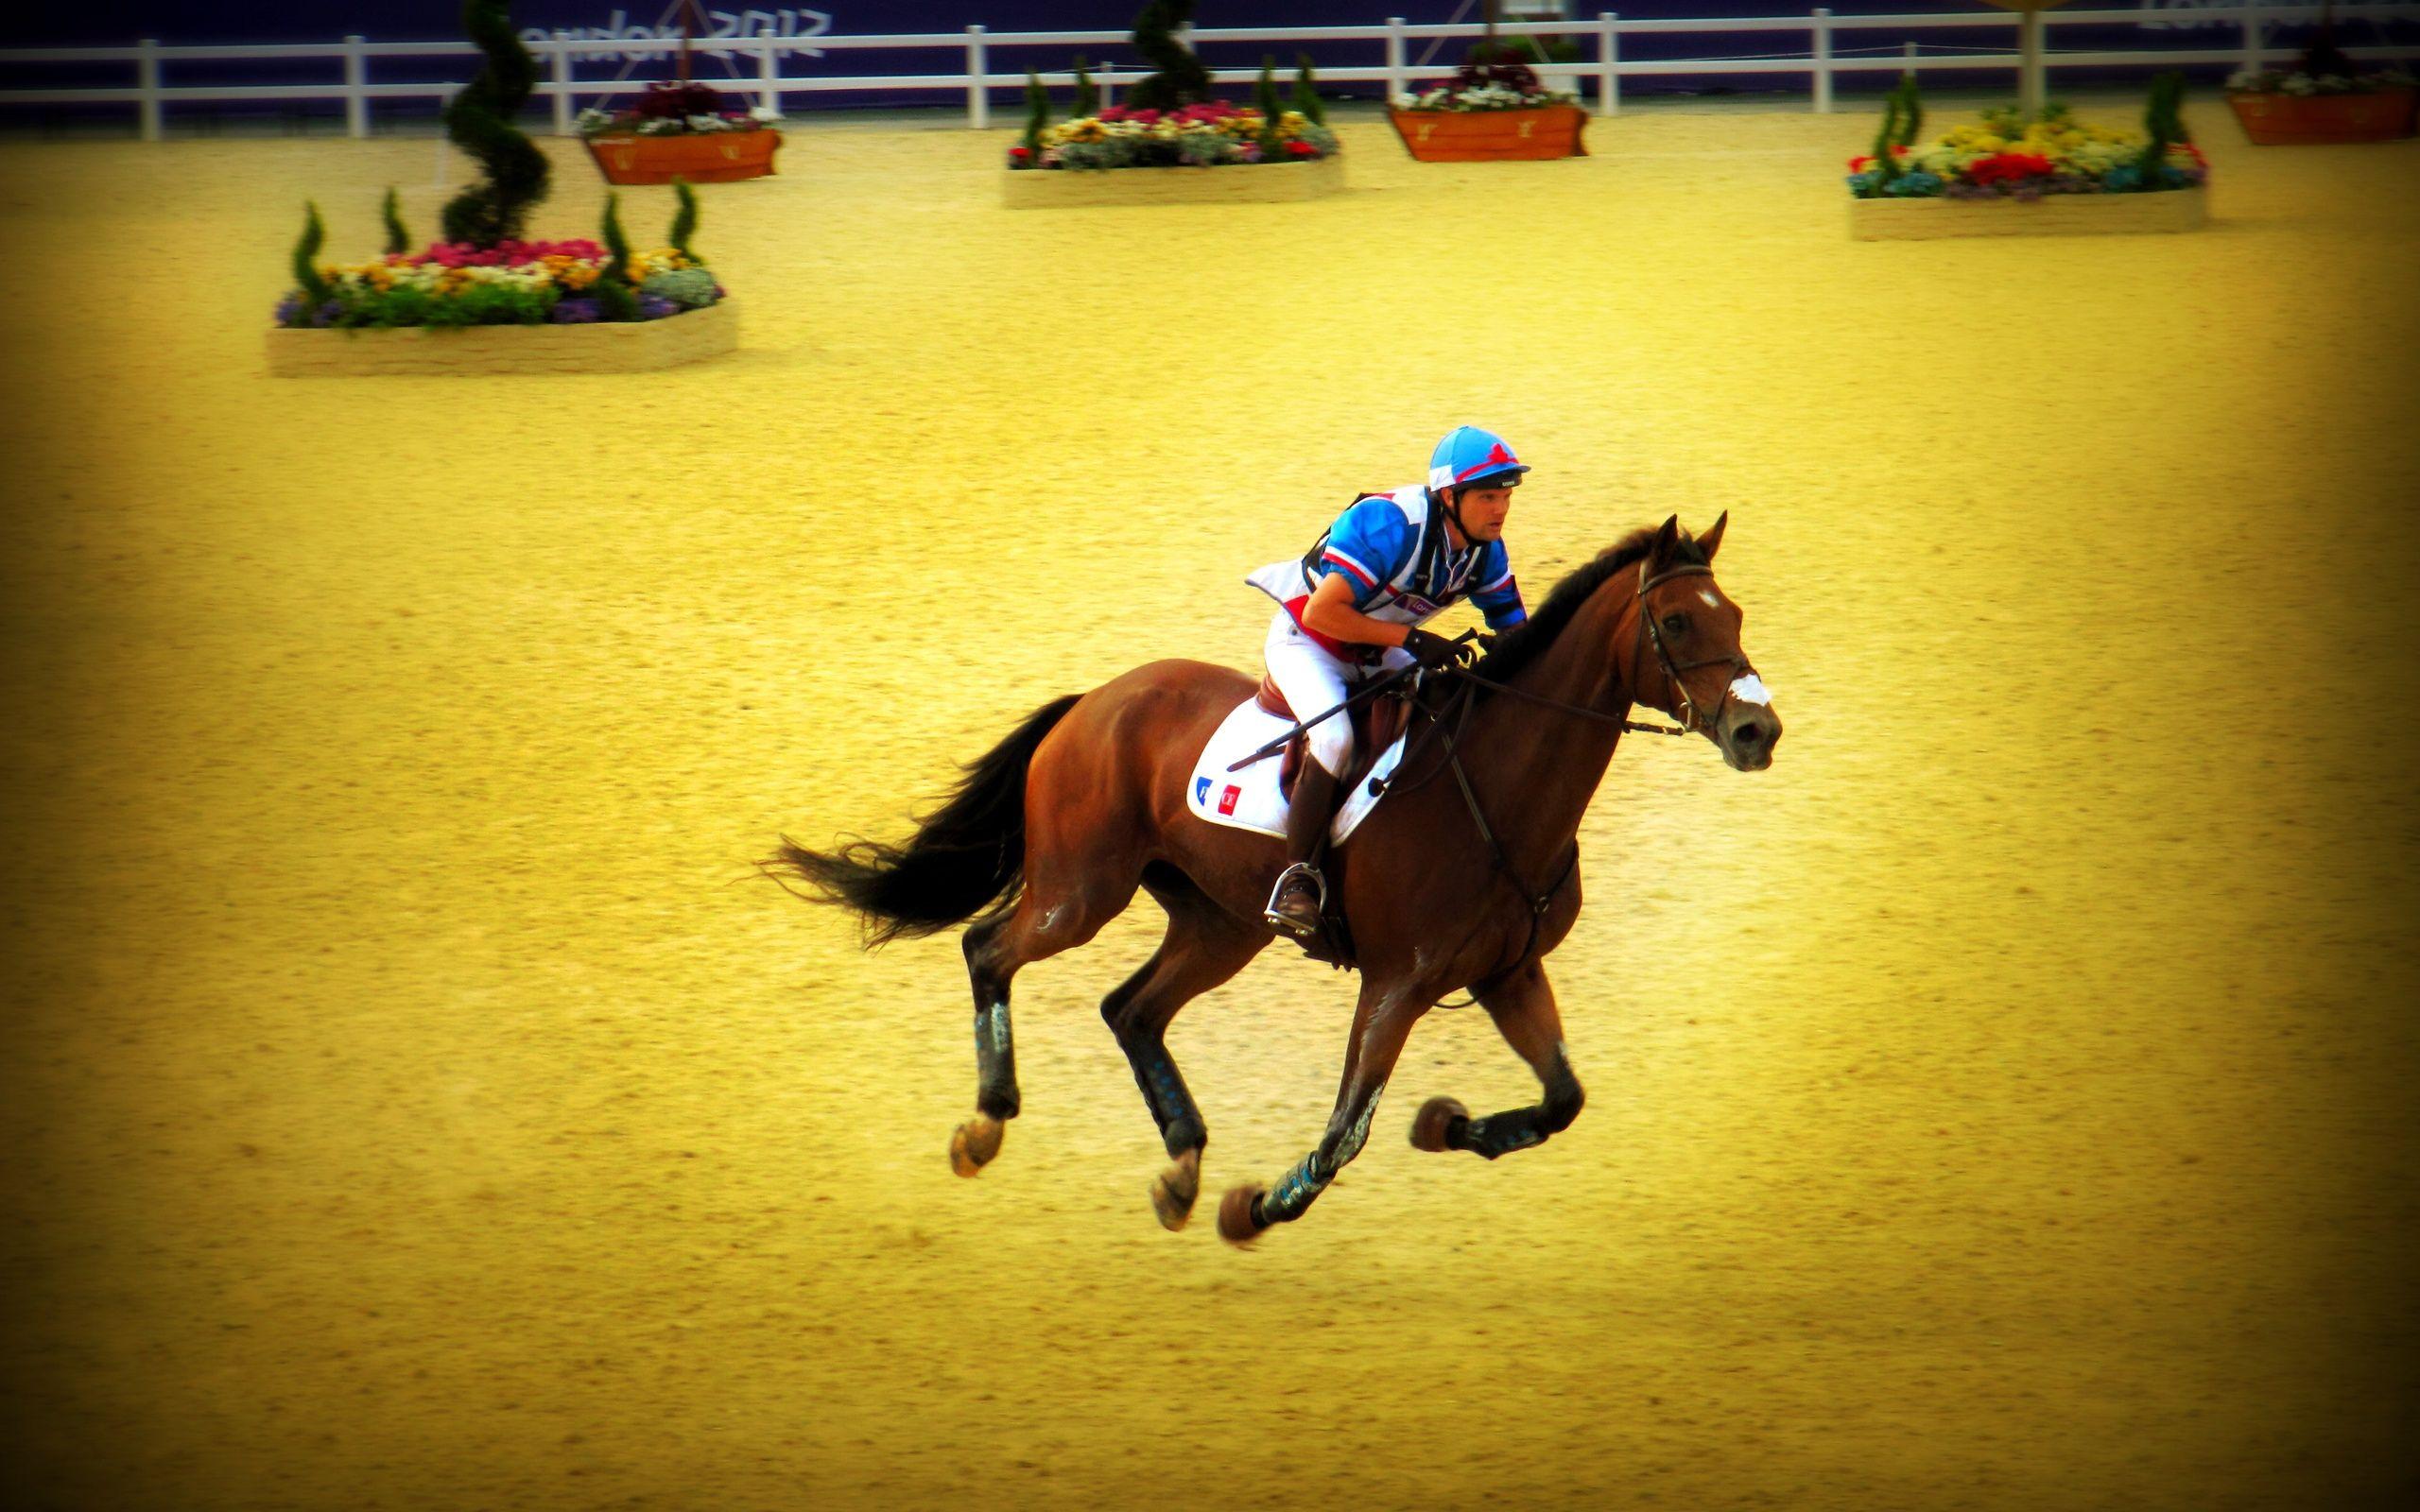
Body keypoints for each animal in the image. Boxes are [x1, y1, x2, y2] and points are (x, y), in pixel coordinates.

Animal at [763, 514, 1780, 1244]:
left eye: (1734, 615)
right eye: (1677, 620)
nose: (1756, 730)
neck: (1499, 788)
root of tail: (1093, 701)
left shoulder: (1506, 970)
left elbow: (1562, 1100)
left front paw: (1444, 1126)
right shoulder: (1399, 981)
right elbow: (1345, 1132)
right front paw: (1256, 1209)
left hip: (1223, 922)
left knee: (1130, 1009)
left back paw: (1181, 1166)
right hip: (1080, 892)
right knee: (989, 948)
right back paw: (986, 1125)